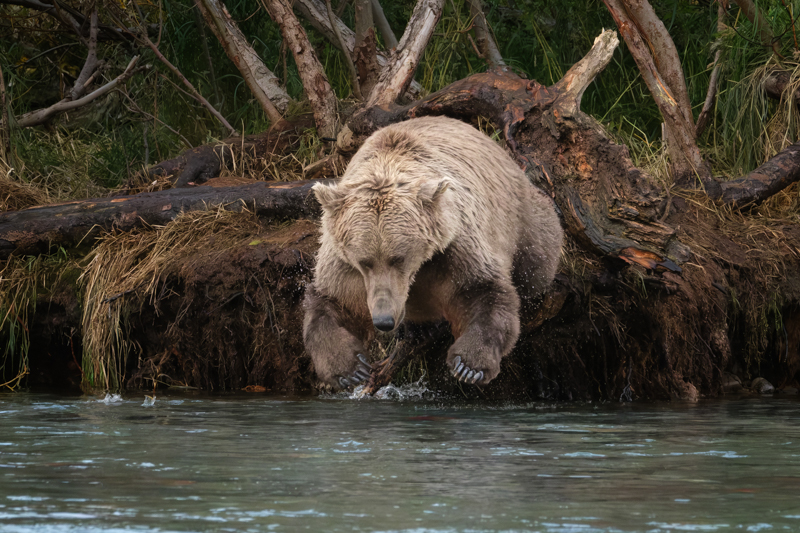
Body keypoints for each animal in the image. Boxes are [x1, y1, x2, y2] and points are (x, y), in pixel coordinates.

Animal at [303, 116, 563, 389]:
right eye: (365, 262)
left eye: (399, 258)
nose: (384, 321)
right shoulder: (344, 265)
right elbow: (333, 303)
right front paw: (350, 370)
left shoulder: (454, 247)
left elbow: (482, 291)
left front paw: (469, 366)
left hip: (525, 219)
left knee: (536, 263)